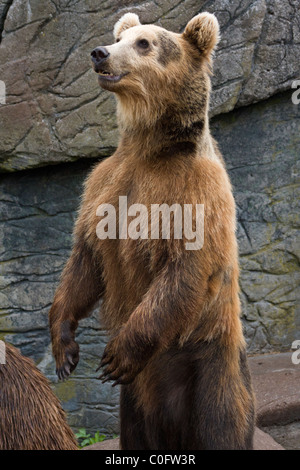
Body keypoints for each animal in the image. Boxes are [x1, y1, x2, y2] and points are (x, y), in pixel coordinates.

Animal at [49, 12, 255, 450]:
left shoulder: (195, 188)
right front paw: (65, 349)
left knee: (222, 424)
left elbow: (185, 268)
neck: (151, 147)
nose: (100, 53)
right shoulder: (105, 185)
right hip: (135, 404)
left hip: (210, 366)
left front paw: (115, 356)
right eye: (119, 37)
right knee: (136, 432)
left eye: (144, 43)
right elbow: (85, 261)